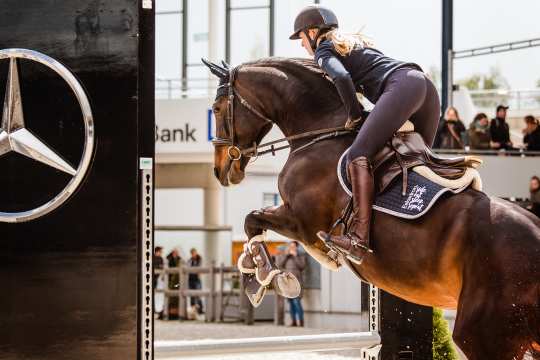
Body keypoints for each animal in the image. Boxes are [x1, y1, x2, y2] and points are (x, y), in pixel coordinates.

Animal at [205, 57, 536, 358]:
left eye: (218, 107)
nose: (220, 171)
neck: (320, 132)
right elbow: (254, 226)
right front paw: (256, 274)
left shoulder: (302, 220)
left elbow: (252, 220)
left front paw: (265, 276)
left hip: (482, 334)